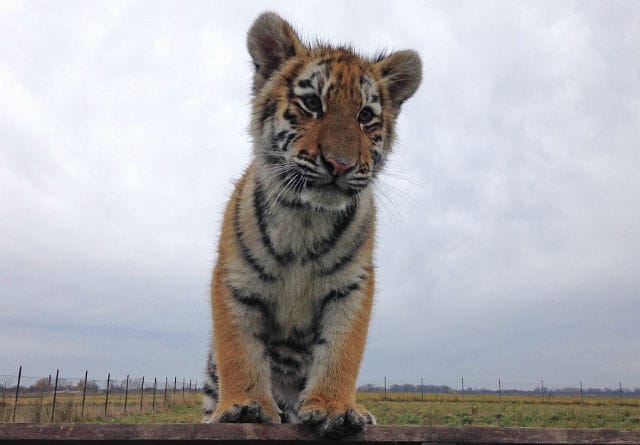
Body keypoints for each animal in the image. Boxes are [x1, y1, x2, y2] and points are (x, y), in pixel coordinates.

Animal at [202, 11, 422, 438]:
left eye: (365, 116)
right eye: (311, 103)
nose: (340, 164)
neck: (306, 216)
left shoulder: (351, 286)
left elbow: (341, 353)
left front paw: (337, 409)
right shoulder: (235, 280)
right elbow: (239, 350)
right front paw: (244, 407)